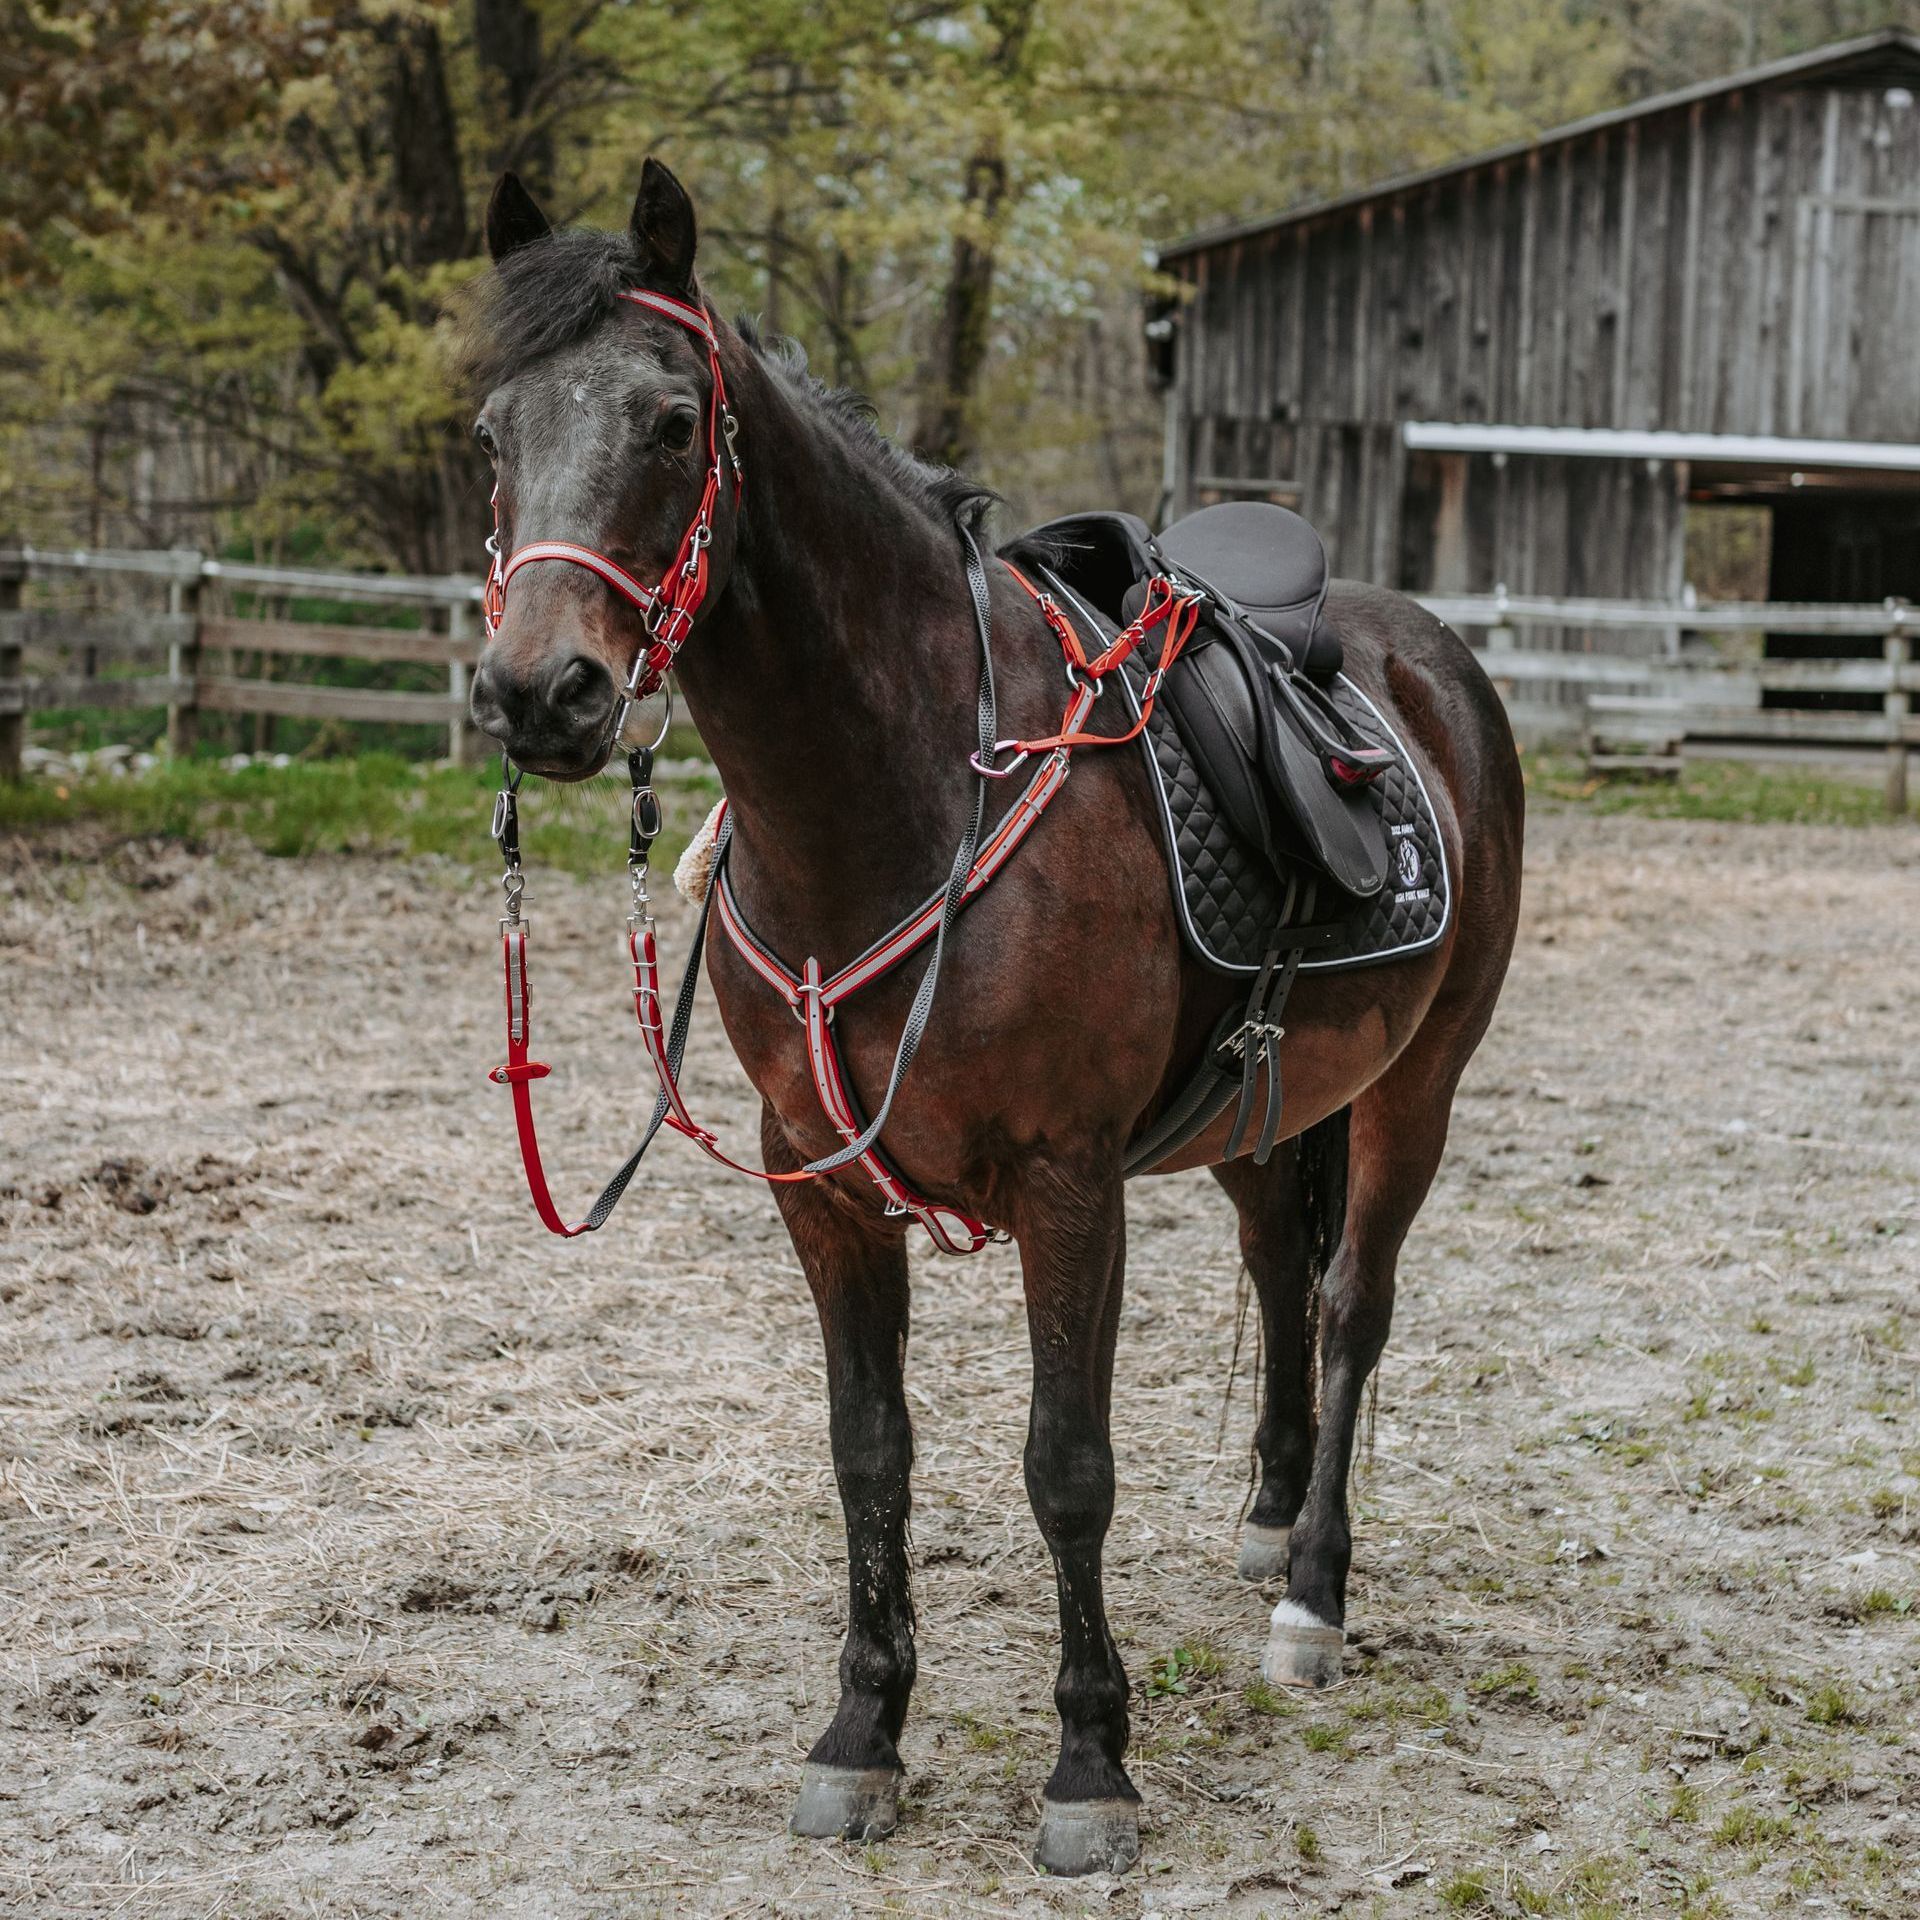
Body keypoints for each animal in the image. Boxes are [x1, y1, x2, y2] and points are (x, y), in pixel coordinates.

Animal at [464, 159, 1525, 1876]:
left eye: (674, 421)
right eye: (494, 432)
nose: (536, 693)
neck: (895, 796)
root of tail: (1425, 653)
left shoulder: (1069, 1182)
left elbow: (1065, 1467)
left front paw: (1090, 1764)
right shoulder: (819, 1184)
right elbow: (869, 1454)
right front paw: (861, 1734)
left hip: (1415, 1084)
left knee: (1352, 1302)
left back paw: (1313, 1591)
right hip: (1262, 1104)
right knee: (1279, 1270)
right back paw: (1265, 1518)